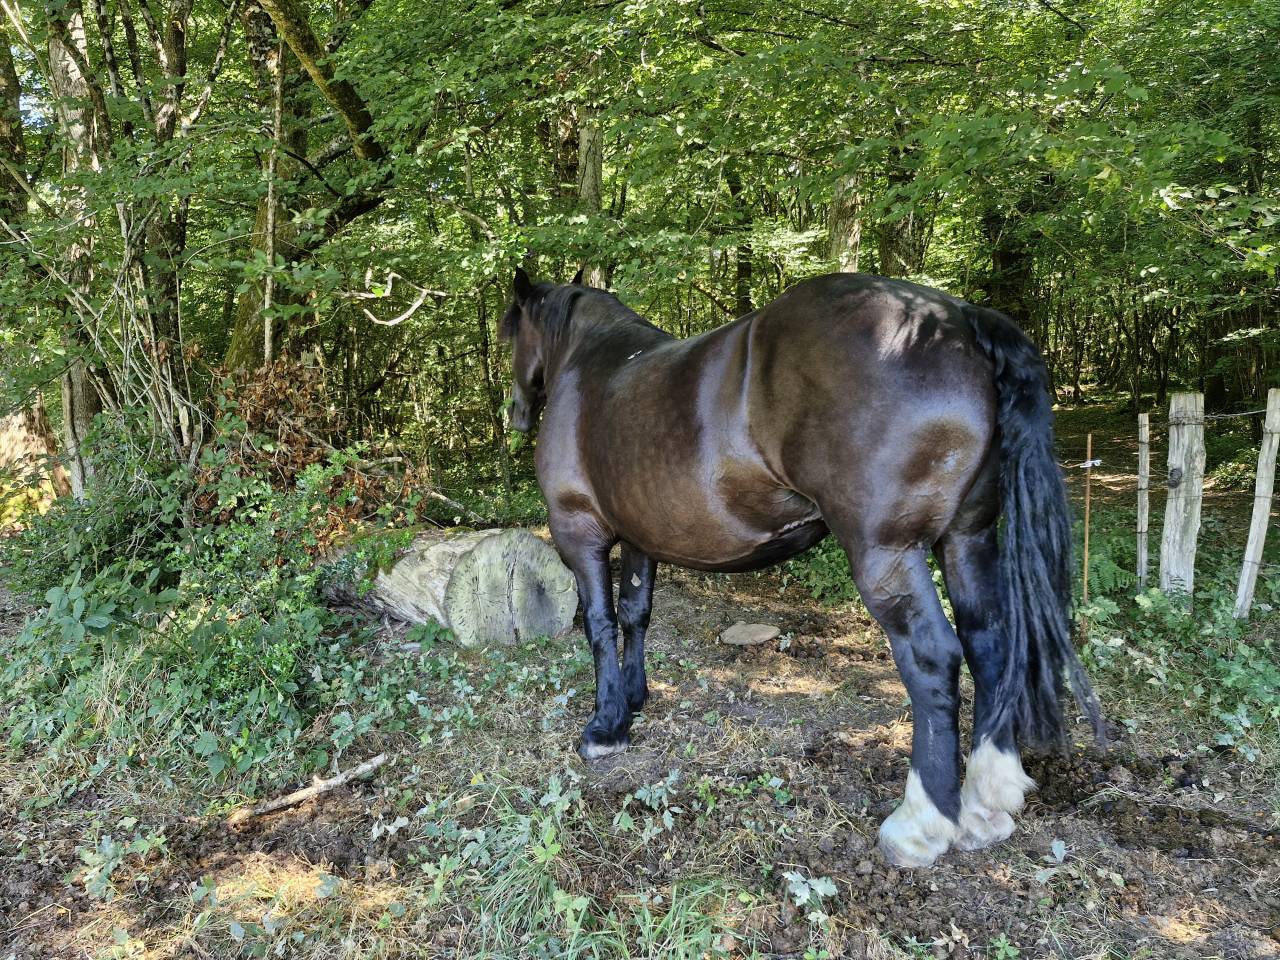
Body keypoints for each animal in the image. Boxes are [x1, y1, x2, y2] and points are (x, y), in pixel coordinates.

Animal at [499, 267, 1103, 868]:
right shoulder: (639, 537)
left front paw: (606, 726)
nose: (517, 414)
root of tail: (958, 318)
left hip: (887, 552)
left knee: (934, 657)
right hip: (966, 538)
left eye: (510, 333)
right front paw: (633, 697)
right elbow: (634, 614)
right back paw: (987, 800)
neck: (592, 362)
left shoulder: (580, 531)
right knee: (989, 642)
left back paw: (922, 823)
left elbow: (600, 625)